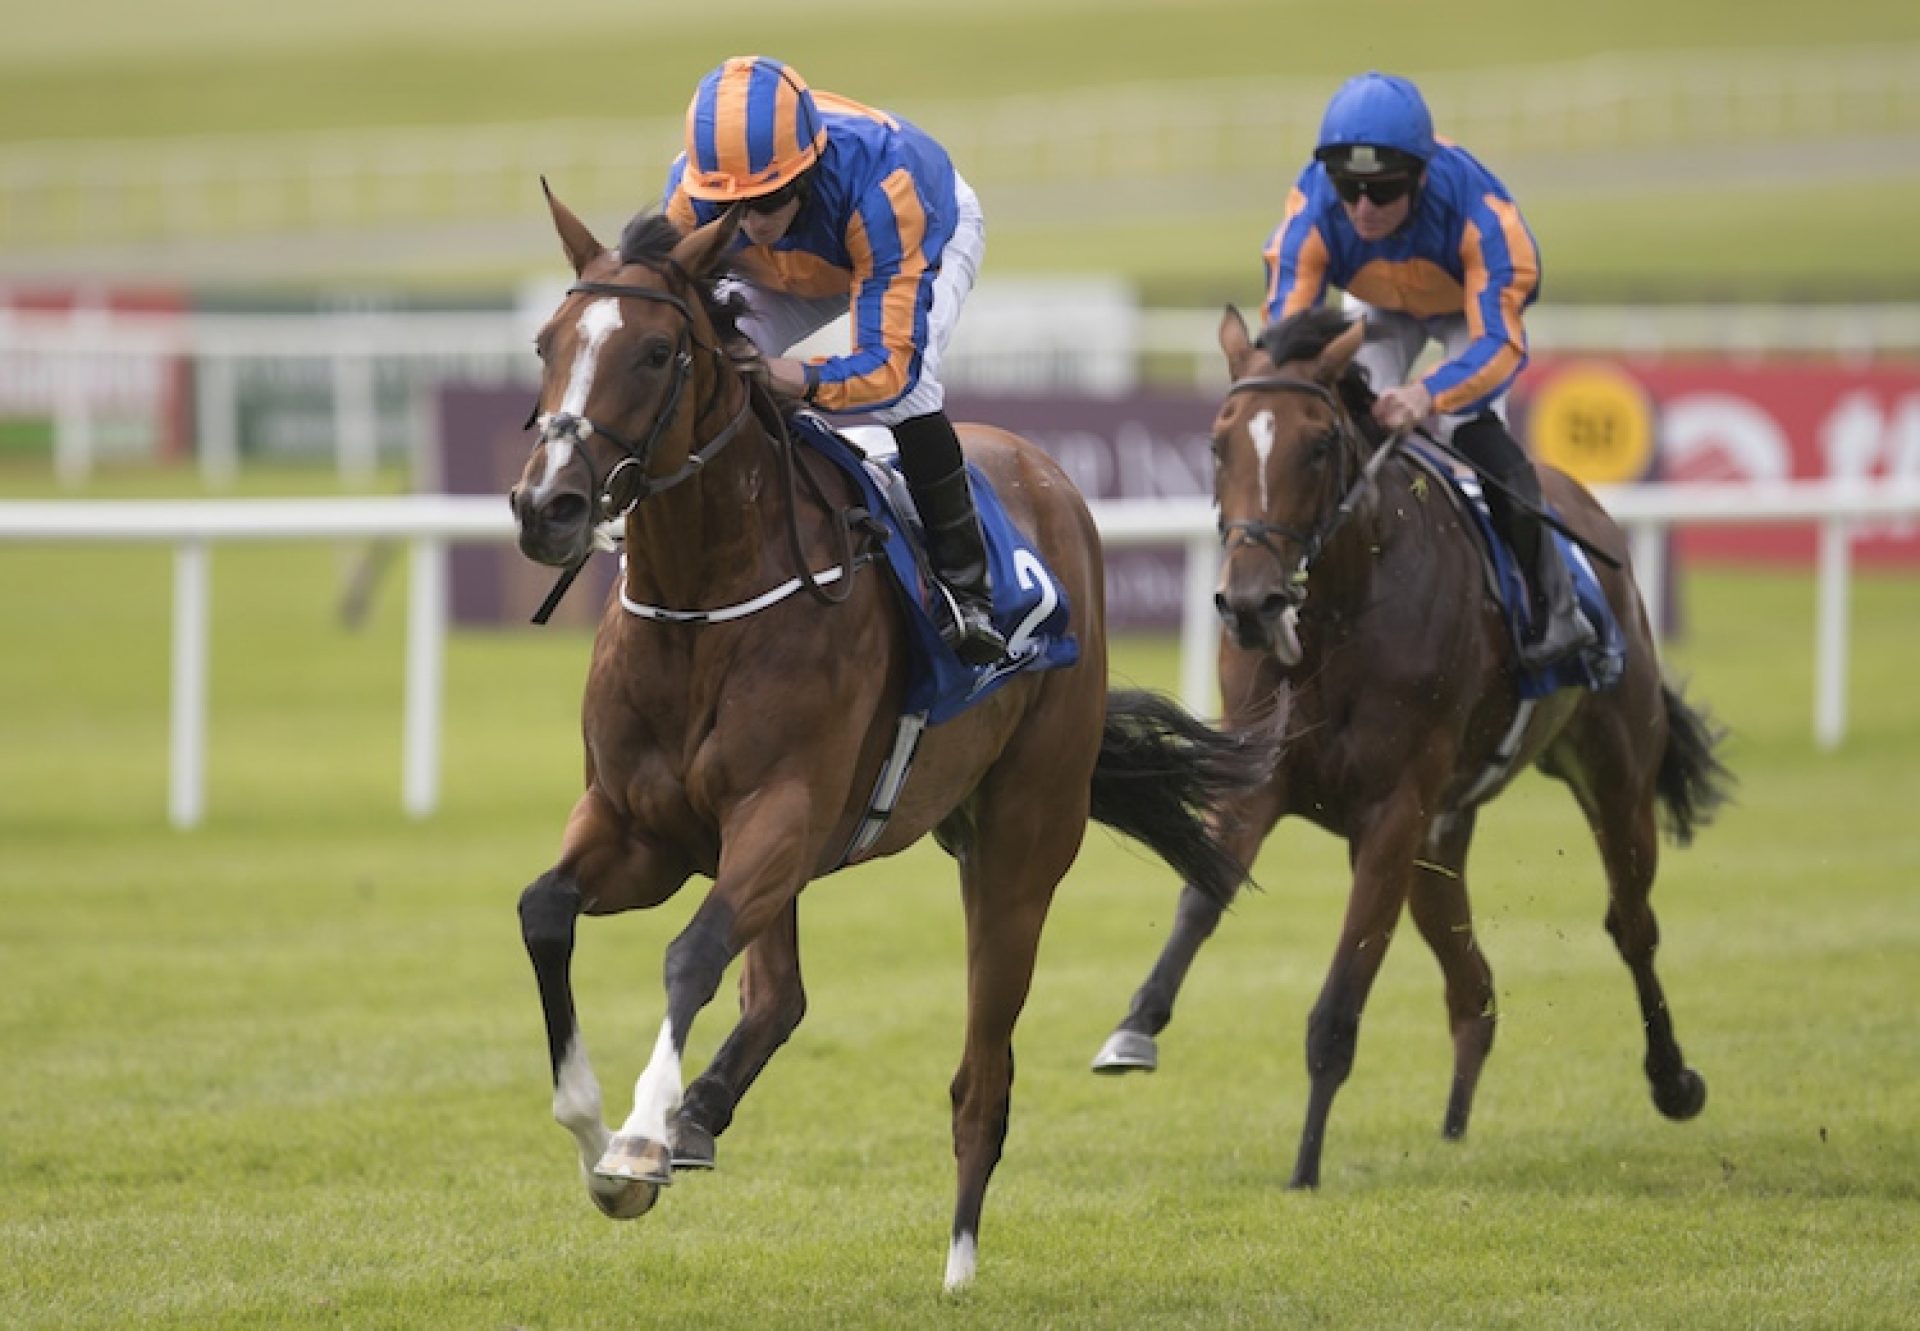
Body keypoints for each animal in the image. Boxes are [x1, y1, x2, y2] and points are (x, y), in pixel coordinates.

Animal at [506, 189, 1274, 1290]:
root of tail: (1047, 475)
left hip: (1017, 848)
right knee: (779, 995)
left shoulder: (782, 813)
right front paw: (599, 1129)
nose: (548, 506)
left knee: (981, 1076)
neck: (704, 603)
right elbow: (545, 912)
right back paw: (706, 1112)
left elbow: (691, 954)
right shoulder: (643, 828)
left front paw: (639, 1141)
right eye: (547, 343)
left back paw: (956, 1261)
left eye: (655, 352)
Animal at [1090, 305, 1735, 1190]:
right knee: (1474, 985)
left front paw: (1305, 1165)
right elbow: (1201, 897)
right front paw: (1134, 1026)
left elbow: (1341, 996)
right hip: (1442, 840)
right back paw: (1455, 1127)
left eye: (1318, 444)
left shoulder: (1393, 812)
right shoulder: (1266, 781)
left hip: (1614, 775)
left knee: (1631, 924)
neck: (1340, 615)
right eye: (1220, 444)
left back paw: (1673, 1078)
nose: (1249, 601)